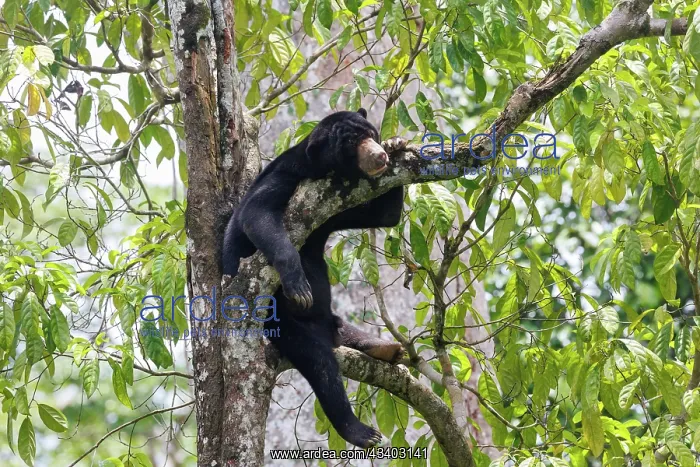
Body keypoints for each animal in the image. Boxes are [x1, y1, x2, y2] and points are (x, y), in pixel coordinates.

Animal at [221, 109, 407, 448]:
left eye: (372, 134)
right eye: (352, 144)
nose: (380, 155)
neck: (320, 170)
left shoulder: (337, 204)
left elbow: (381, 216)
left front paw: (399, 142)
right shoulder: (290, 180)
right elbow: (256, 214)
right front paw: (298, 284)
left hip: (331, 320)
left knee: (347, 331)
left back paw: (385, 347)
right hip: (282, 324)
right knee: (320, 365)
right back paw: (361, 431)